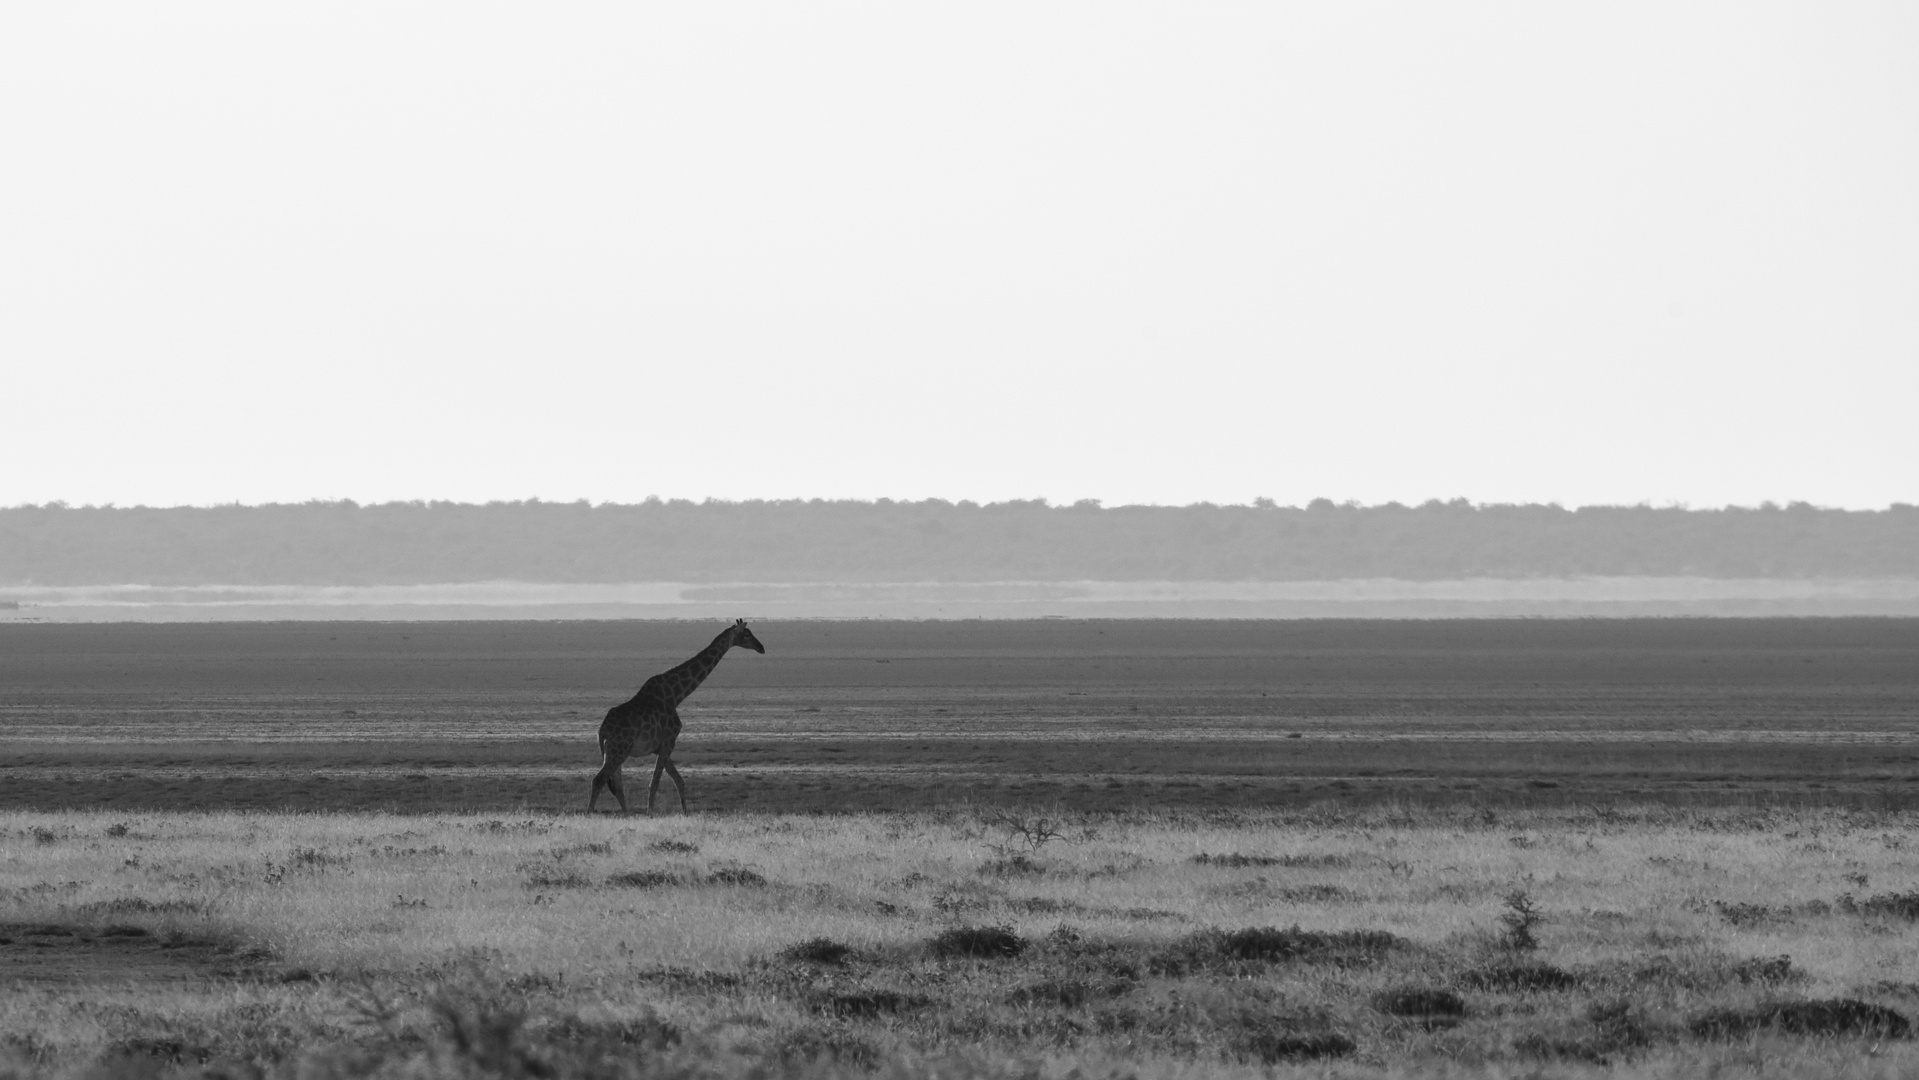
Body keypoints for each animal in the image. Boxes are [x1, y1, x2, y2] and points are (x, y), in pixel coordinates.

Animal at [591, 617, 763, 813]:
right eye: (747, 634)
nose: (761, 647)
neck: (675, 696)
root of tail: (602, 729)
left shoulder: (662, 746)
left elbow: (678, 780)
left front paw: (685, 813)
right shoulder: (668, 741)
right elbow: (656, 782)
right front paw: (650, 814)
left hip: (616, 751)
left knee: (617, 786)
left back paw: (627, 816)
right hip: (617, 750)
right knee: (599, 780)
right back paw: (589, 813)